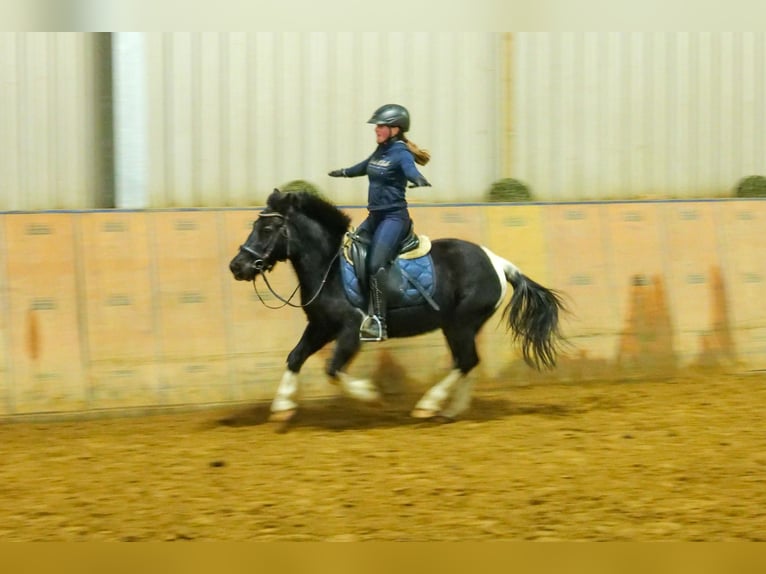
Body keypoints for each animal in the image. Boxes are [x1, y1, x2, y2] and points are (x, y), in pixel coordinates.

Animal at [225, 190, 568, 428]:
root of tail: (498, 262)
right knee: (468, 362)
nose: (237, 266)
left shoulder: (351, 329)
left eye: (267, 229)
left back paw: (429, 406)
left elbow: (333, 369)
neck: (329, 268)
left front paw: (371, 396)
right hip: (460, 325)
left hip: (461, 323)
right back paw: (449, 410)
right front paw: (282, 408)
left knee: (465, 361)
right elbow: (295, 357)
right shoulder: (321, 327)